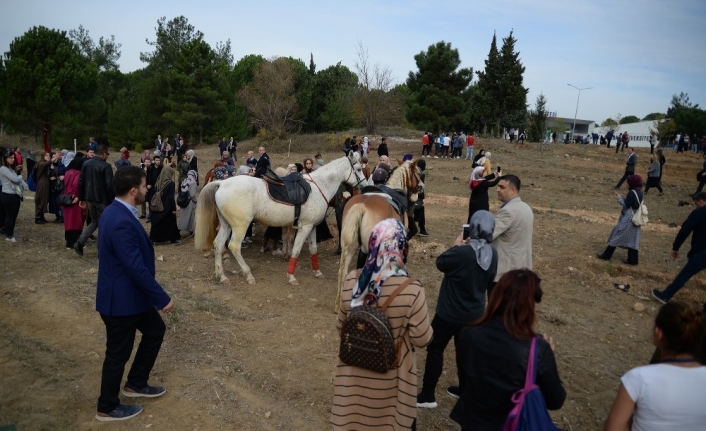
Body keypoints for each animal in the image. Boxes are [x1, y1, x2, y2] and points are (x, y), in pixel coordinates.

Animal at [194, 150, 366, 286]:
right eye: (358, 169)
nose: (364, 186)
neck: (318, 187)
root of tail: (221, 184)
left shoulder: (312, 227)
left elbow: (313, 249)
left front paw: (317, 272)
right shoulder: (304, 227)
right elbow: (296, 250)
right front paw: (291, 276)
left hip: (226, 225)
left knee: (218, 244)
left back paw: (221, 275)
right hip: (240, 226)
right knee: (234, 246)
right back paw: (248, 274)